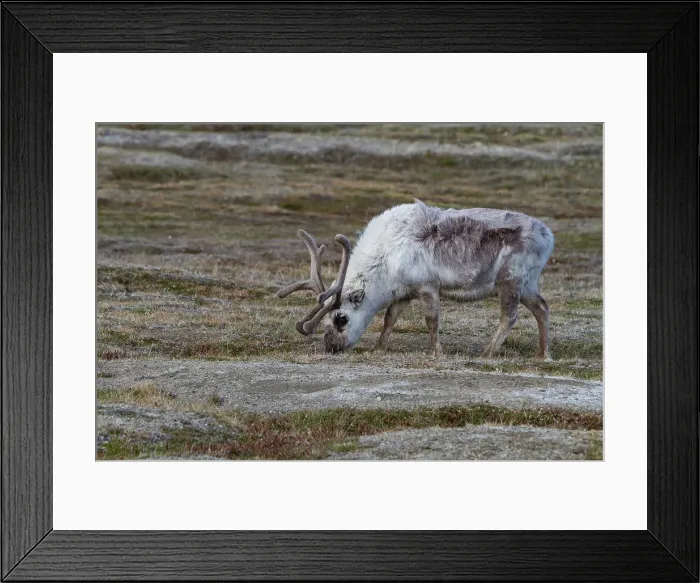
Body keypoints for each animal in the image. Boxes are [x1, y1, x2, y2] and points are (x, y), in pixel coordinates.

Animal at [276, 199, 554, 359]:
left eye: (340, 318)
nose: (331, 347)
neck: (385, 258)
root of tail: (548, 235)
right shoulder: (404, 292)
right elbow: (389, 318)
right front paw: (378, 348)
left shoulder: (427, 286)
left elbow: (431, 320)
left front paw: (437, 352)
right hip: (527, 285)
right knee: (541, 307)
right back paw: (543, 354)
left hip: (510, 281)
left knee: (510, 316)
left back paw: (486, 353)